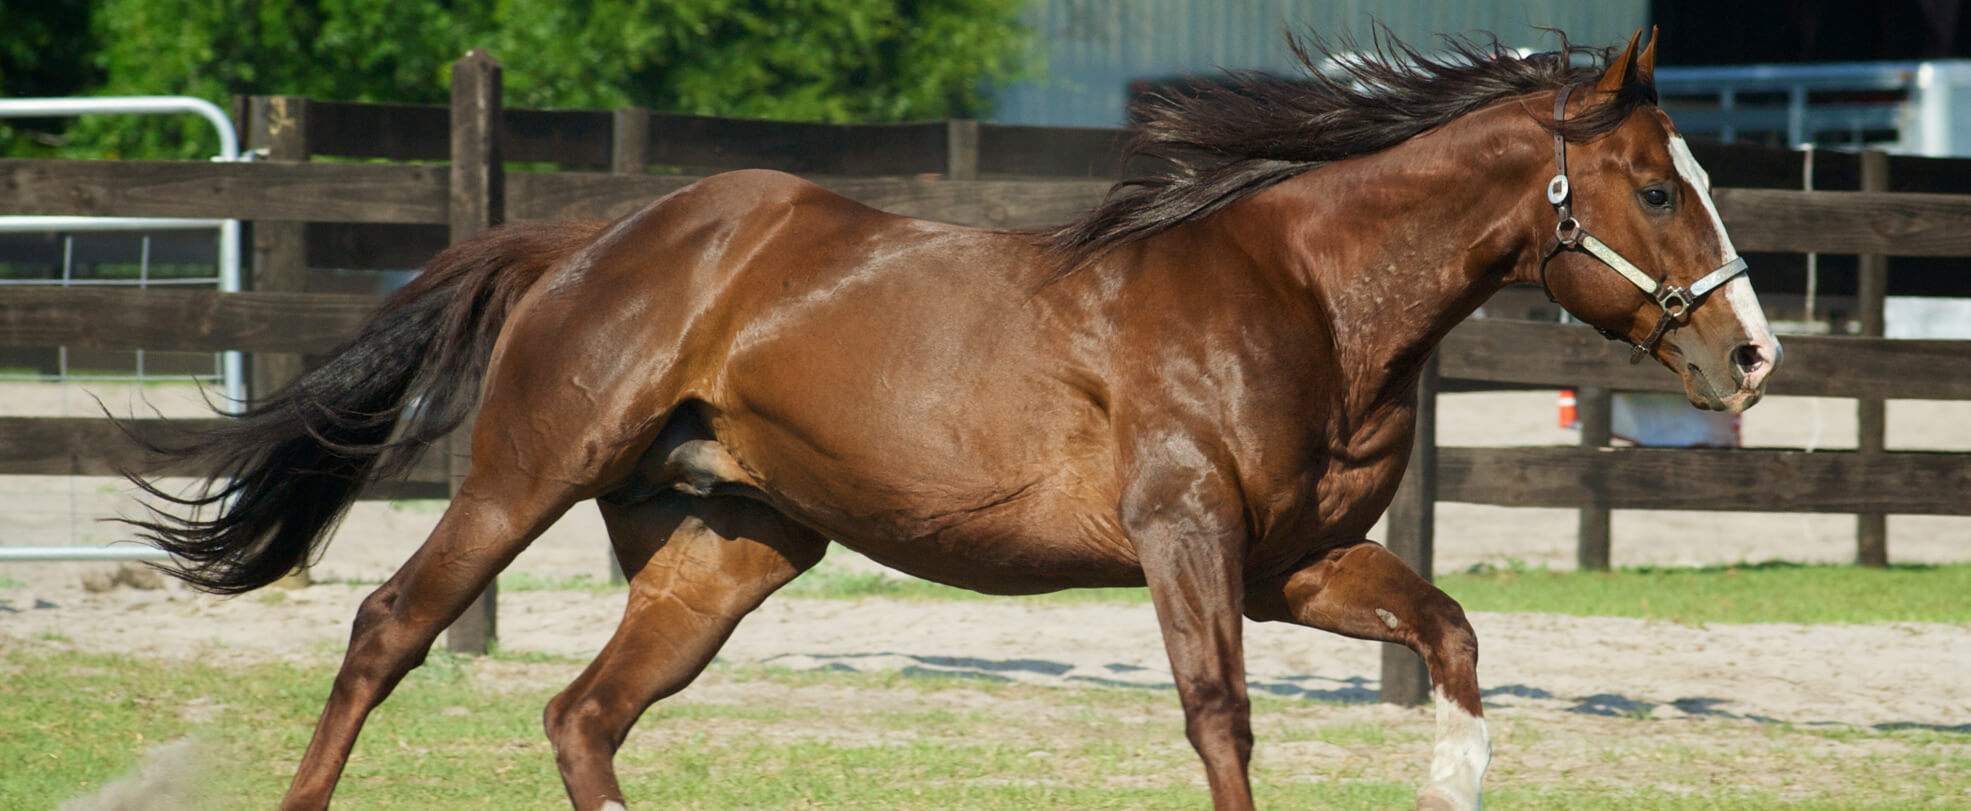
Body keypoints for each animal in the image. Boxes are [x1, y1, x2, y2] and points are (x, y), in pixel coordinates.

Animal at [133, 28, 1778, 811]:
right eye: (1655, 186)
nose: (1752, 352)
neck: (1300, 292)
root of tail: (594, 240)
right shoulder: (1188, 540)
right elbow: (1219, 714)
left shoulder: (1291, 563)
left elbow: (1449, 635)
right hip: (525, 473)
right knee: (392, 628)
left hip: (734, 546)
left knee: (585, 712)